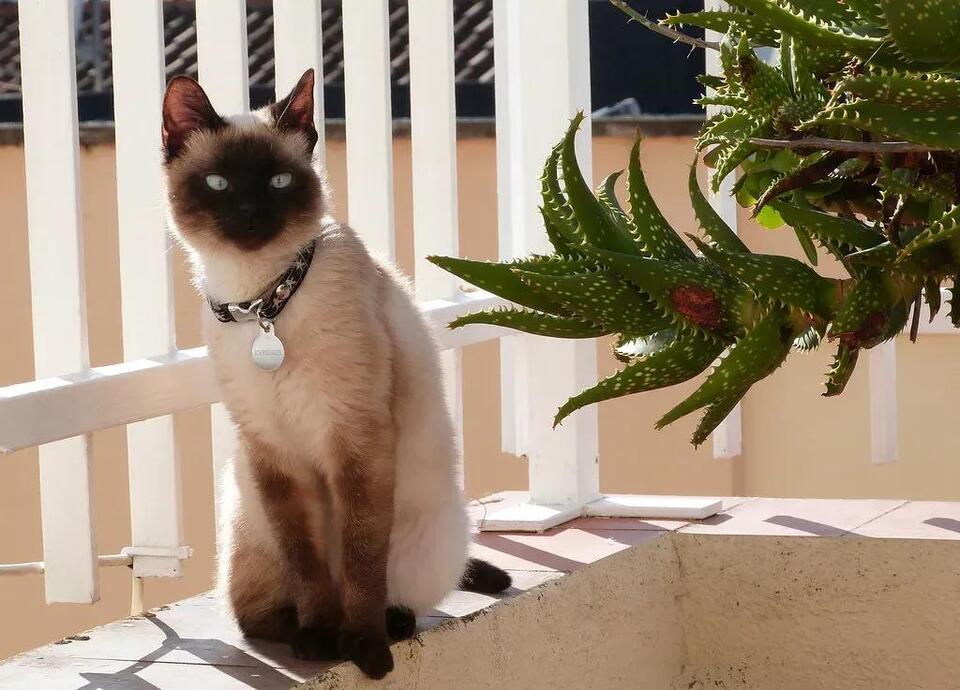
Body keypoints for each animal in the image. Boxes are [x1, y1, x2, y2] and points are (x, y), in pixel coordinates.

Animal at [161, 69, 510, 679]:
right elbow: (310, 567)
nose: (250, 215)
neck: (262, 303)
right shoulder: (274, 452)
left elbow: (361, 562)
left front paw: (364, 650)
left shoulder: (356, 440)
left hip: (434, 529)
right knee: (254, 615)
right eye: (219, 184)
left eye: (279, 181)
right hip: (251, 520)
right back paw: (297, 630)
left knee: (400, 594)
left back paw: (391, 626)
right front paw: (319, 641)